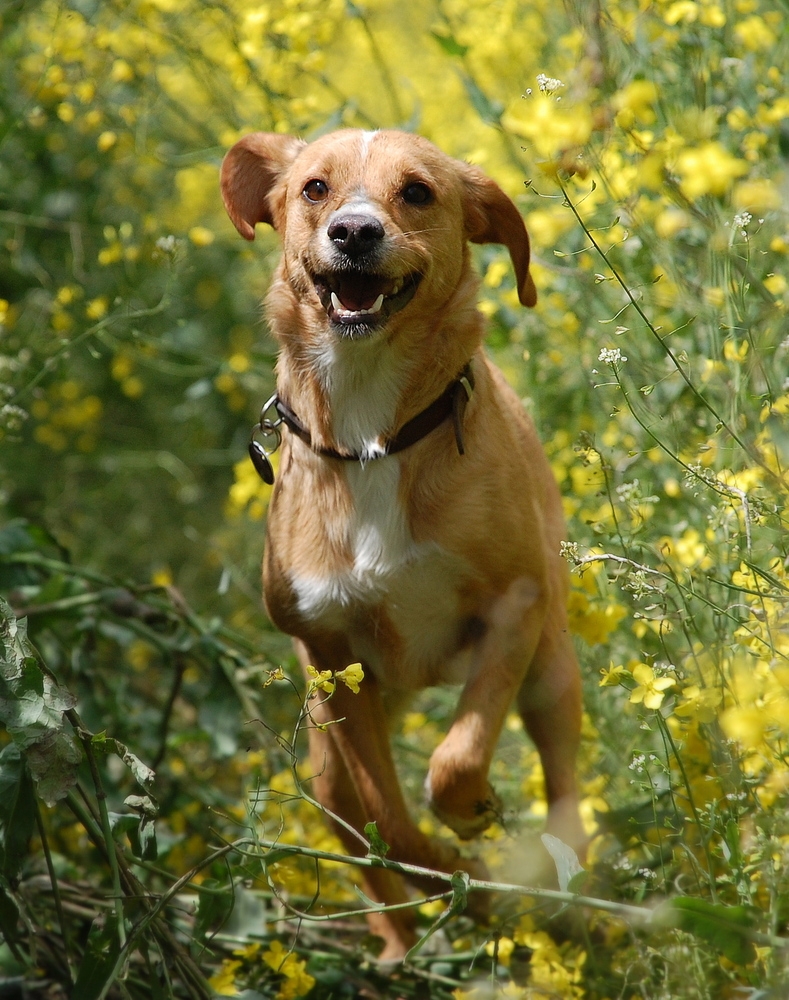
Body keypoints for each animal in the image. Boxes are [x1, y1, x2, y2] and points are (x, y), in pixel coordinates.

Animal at [219, 129, 580, 956]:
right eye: (314, 188)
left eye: (416, 191)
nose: (354, 232)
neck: (370, 436)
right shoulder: (332, 655)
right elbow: (391, 820)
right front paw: (451, 874)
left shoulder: (512, 609)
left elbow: (456, 758)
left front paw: (471, 816)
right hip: (324, 757)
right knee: (357, 829)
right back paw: (398, 949)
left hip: (550, 669)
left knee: (565, 785)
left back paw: (570, 888)